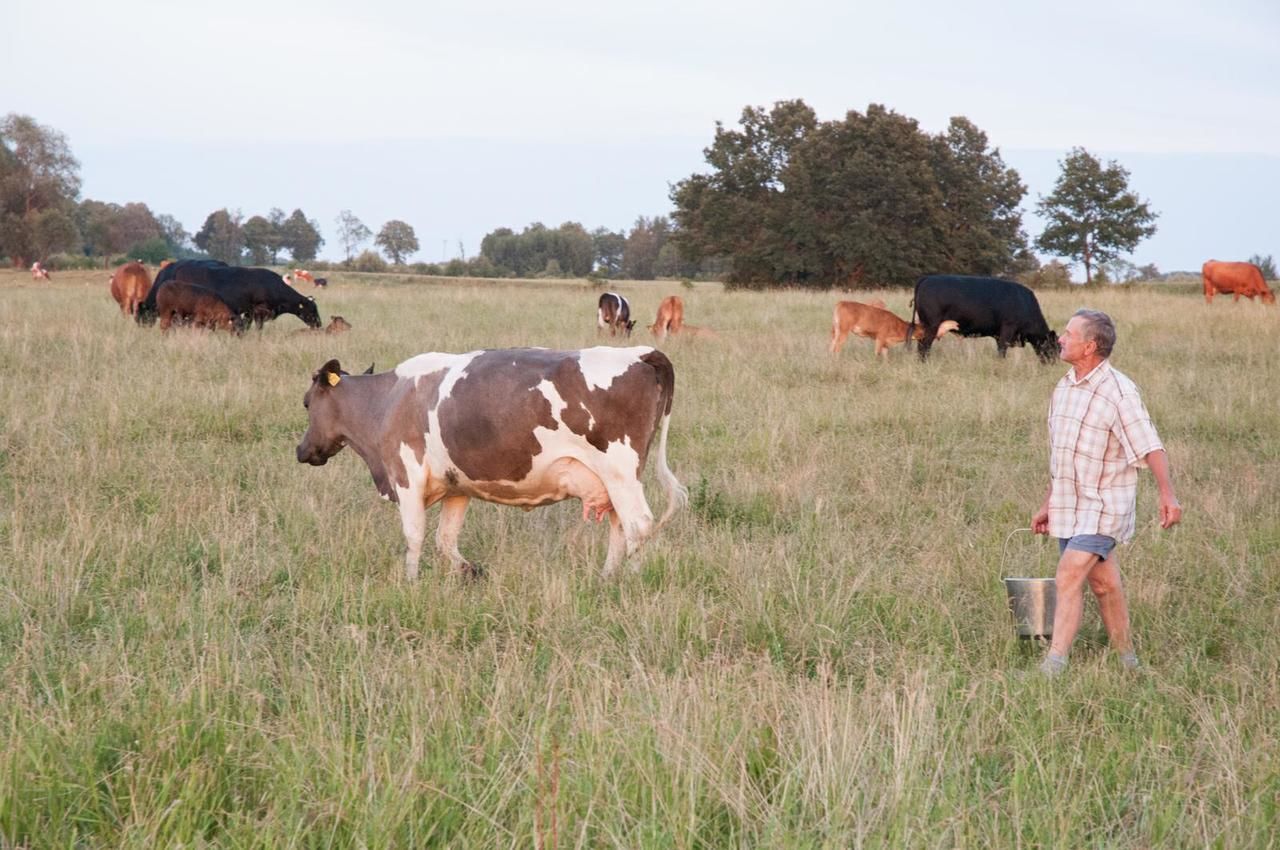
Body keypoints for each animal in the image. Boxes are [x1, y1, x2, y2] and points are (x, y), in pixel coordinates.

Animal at [294, 345, 686, 578]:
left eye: (306, 402)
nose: (301, 450)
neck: (389, 399)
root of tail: (639, 353)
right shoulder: (457, 489)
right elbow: (445, 540)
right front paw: (471, 572)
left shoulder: (406, 477)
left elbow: (415, 535)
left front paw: (410, 581)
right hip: (612, 481)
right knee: (620, 527)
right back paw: (606, 578)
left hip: (621, 473)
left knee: (638, 525)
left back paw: (629, 580)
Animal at [824, 300, 957, 355]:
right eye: (923, 329)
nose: (937, 336)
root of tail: (841, 303)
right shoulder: (880, 338)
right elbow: (877, 354)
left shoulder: (885, 344)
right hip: (843, 332)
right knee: (836, 348)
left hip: (834, 331)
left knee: (831, 347)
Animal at [906, 275, 1054, 360]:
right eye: (1054, 346)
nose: (1054, 363)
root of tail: (927, 278)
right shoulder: (1008, 328)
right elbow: (1002, 349)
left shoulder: (999, 334)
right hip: (932, 325)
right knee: (924, 346)